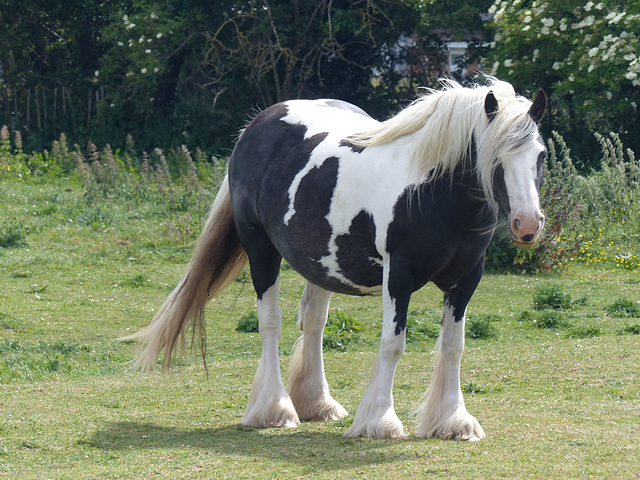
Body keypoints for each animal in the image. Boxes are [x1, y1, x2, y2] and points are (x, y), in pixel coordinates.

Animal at [127, 78, 548, 438]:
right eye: (495, 155)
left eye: (540, 155)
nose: (527, 224)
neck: (431, 192)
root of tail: (257, 125)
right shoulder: (399, 276)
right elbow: (393, 344)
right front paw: (380, 421)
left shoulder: (466, 279)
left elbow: (453, 346)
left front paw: (452, 421)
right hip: (261, 251)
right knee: (270, 324)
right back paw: (274, 409)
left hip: (321, 265)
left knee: (314, 322)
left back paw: (316, 402)